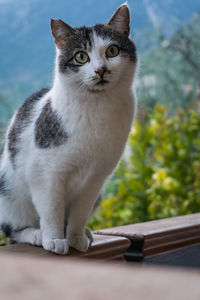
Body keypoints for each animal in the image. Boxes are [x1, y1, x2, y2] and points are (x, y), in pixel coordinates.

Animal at [0, 3, 138, 254]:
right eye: (81, 57)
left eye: (112, 51)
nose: (100, 70)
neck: (97, 108)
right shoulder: (46, 176)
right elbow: (52, 210)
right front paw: (54, 239)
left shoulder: (95, 180)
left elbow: (79, 213)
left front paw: (74, 237)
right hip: (10, 195)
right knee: (13, 230)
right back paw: (35, 234)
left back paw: (86, 233)